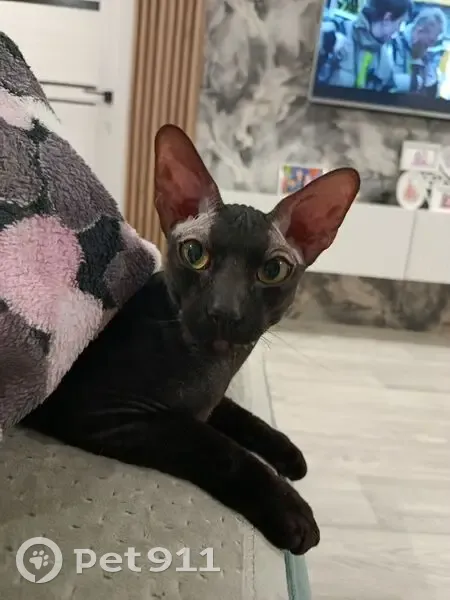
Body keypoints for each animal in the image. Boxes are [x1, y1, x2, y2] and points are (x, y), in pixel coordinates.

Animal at [22, 124, 360, 555]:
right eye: (195, 253)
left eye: (273, 270)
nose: (224, 310)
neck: (212, 367)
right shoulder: (107, 410)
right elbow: (215, 444)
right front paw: (289, 508)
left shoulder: (208, 400)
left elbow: (235, 412)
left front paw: (285, 451)